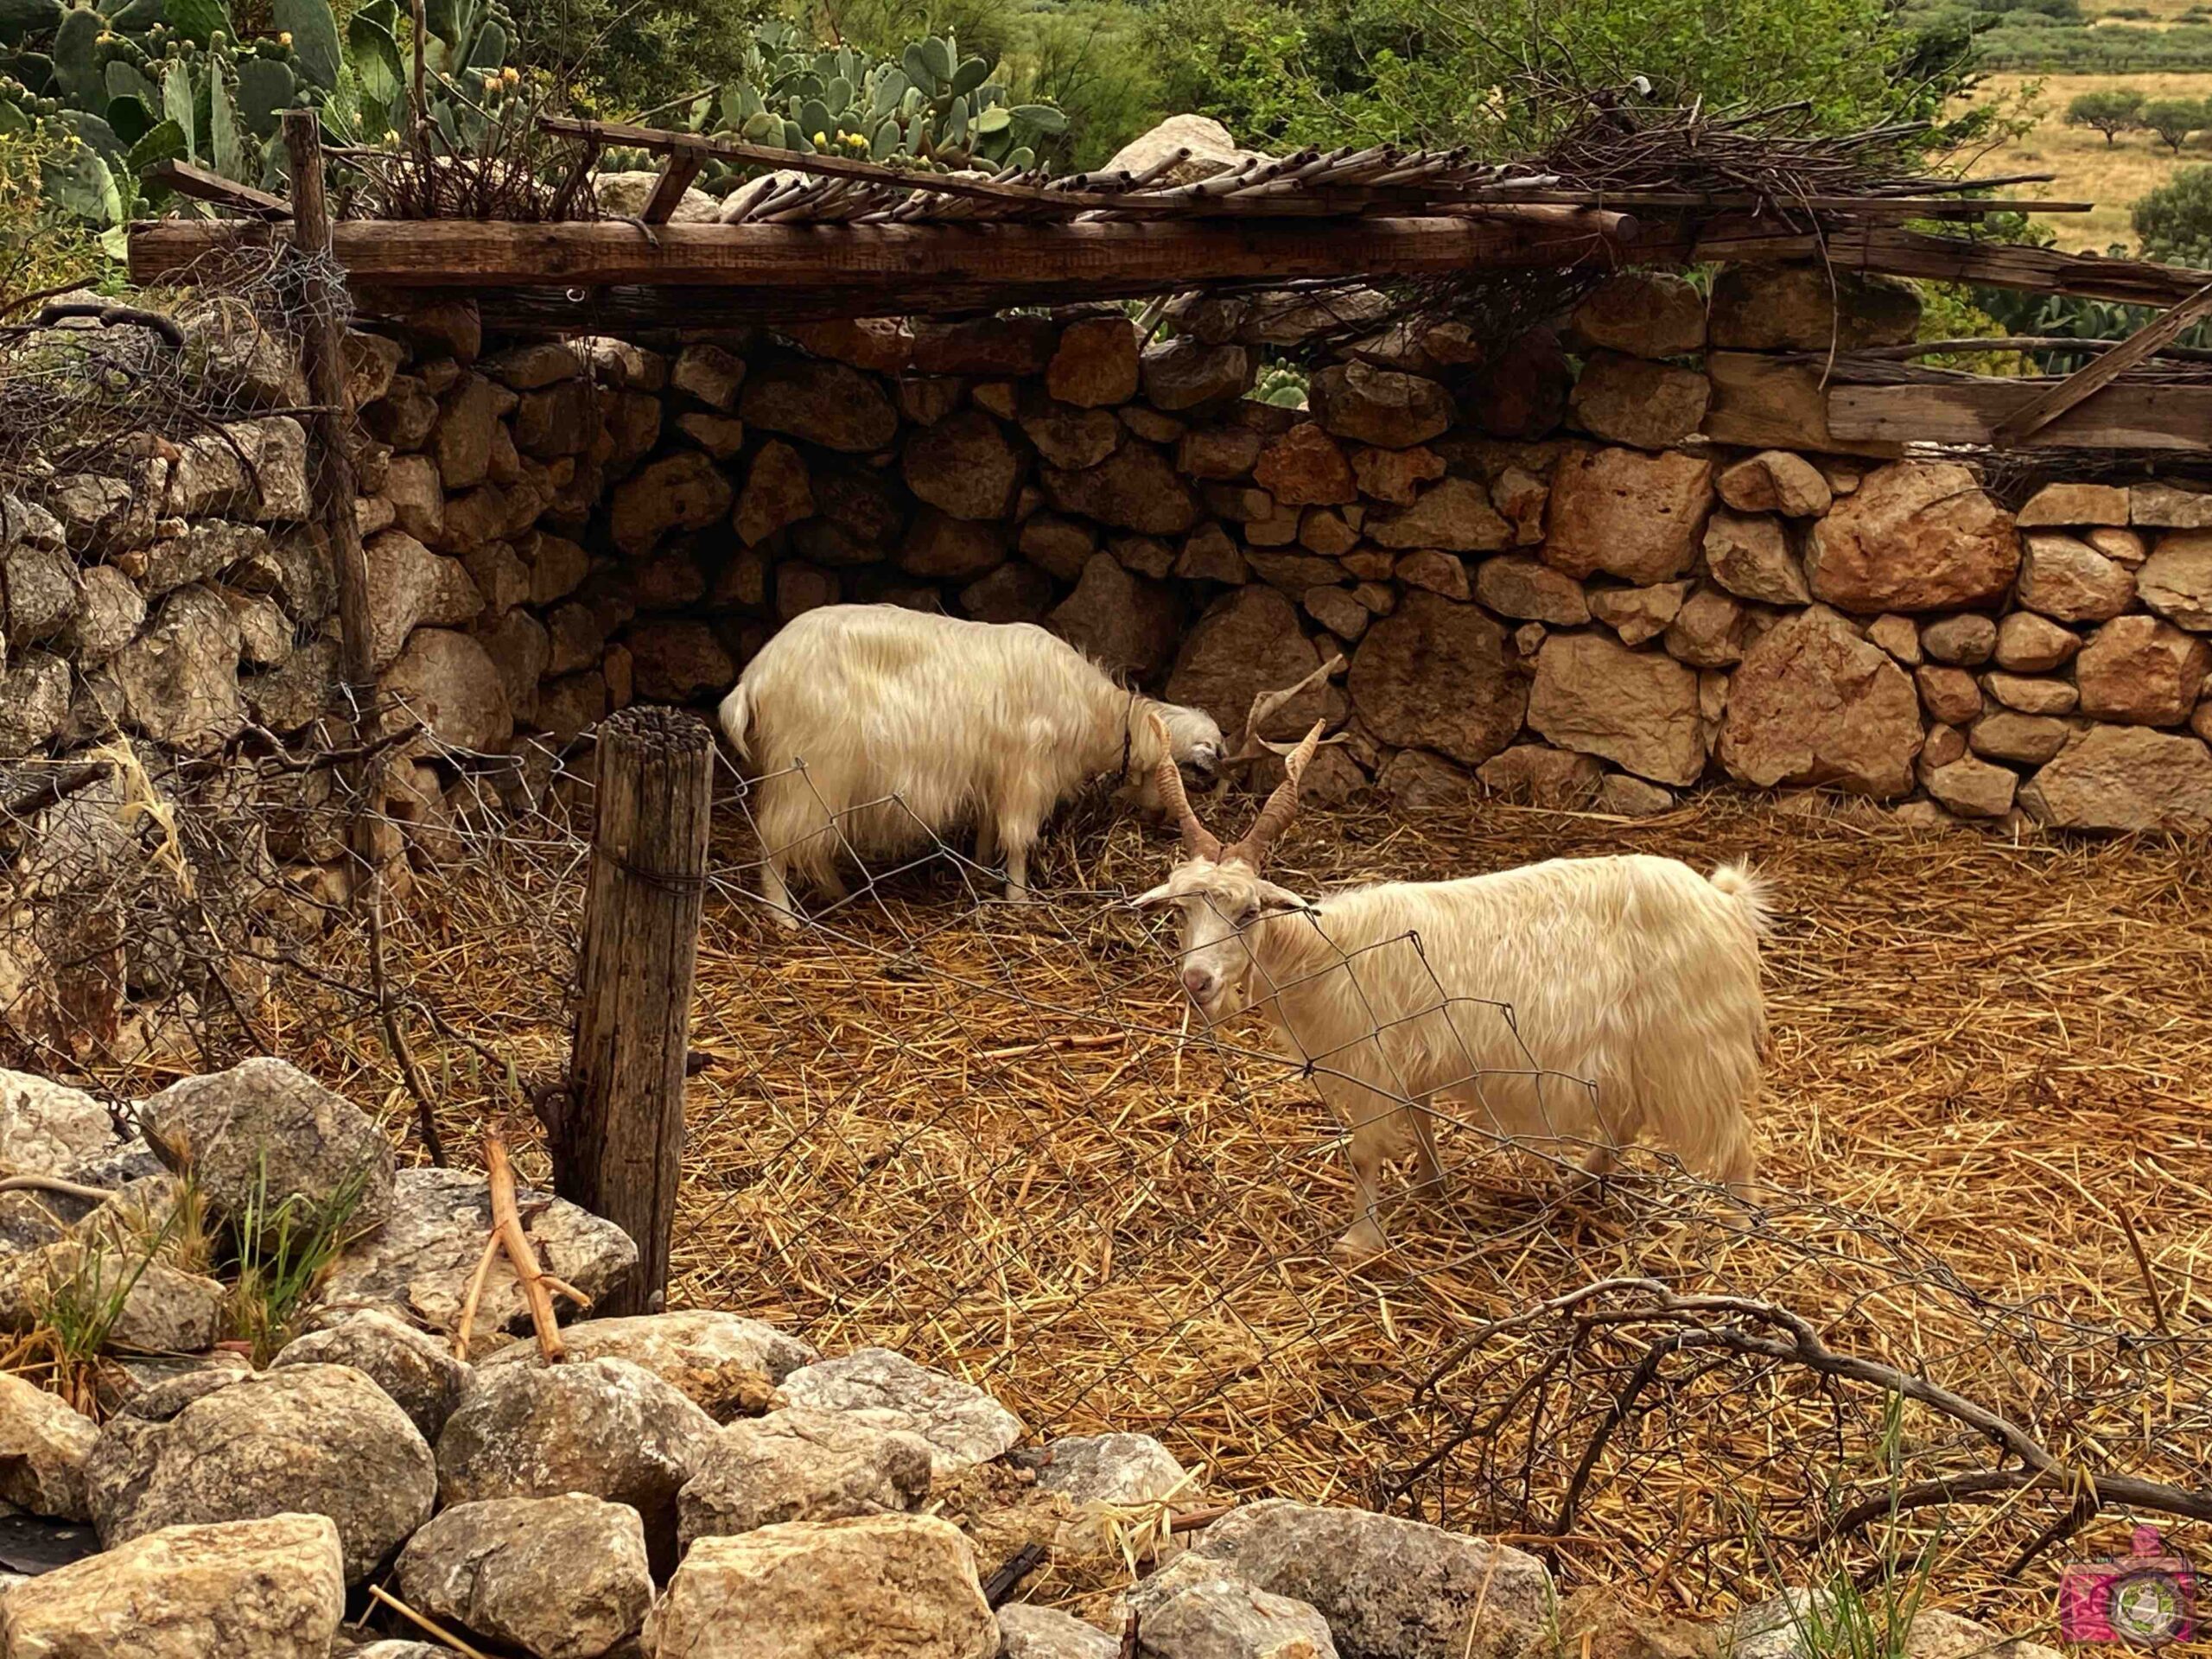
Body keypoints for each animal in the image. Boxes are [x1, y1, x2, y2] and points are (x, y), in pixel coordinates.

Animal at [721, 606, 1230, 929]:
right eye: (1193, 775)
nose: (1161, 822)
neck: (1094, 710)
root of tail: (753, 680)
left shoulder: (995, 773)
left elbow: (989, 826)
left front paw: (984, 869)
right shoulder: (1027, 772)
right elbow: (1020, 838)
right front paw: (1019, 899)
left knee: (812, 842)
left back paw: (837, 893)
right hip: (806, 770)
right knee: (775, 838)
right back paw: (784, 916)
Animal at [1132, 716, 1770, 1256]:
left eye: (1248, 914)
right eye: (1184, 909)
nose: (1197, 981)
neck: (1329, 951)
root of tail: (1725, 901)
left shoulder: (1376, 1064)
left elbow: (1365, 1154)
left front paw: (1359, 1242)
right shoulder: (1413, 1061)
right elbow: (1422, 1124)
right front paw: (1430, 1186)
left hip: (1694, 1044)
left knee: (1733, 1138)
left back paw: (1737, 1227)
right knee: (1626, 1120)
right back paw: (1577, 1184)